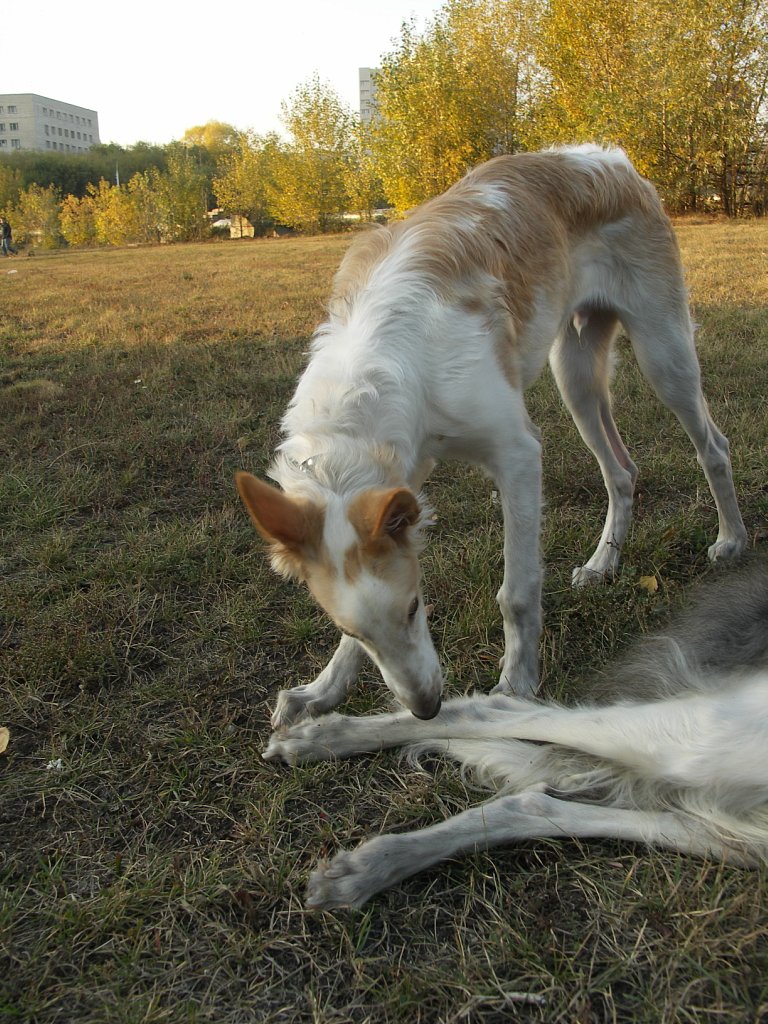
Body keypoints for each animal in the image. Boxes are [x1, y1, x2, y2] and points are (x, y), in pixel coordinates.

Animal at [237, 146, 749, 729]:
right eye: (352, 630)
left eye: (414, 607)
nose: (427, 710)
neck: (381, 362)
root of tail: (609, 157)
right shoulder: (406, 474)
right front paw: (322, 691)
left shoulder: (517, 454)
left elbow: (517, 592)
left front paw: (517, 686)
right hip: (575, 372)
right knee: (621, 471)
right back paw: (604, 563)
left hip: (664, 354)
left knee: (713, 448)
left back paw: (732, 539)